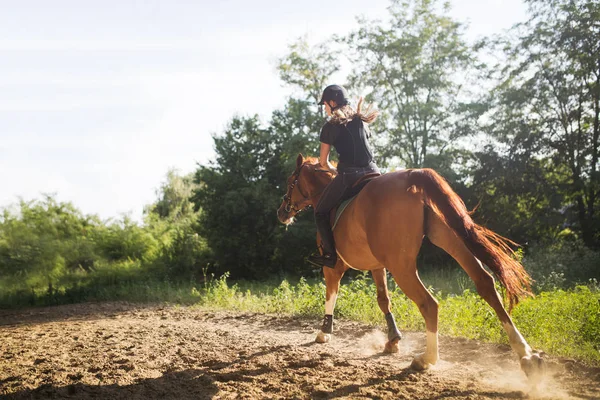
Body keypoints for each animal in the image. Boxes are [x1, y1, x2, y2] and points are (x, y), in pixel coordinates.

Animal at [278, 155, 548, 380]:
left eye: (291, 182)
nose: (281, 212)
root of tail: (412, 175)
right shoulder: (378, 266)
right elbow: (383, 300)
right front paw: (393, 340)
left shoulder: (334, 267)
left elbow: (331, 294)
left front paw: (324, 332)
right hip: (450, 241)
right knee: (485, 283)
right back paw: (526, 355)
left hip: (402, 267)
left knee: (429, 304)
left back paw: (426, 359)